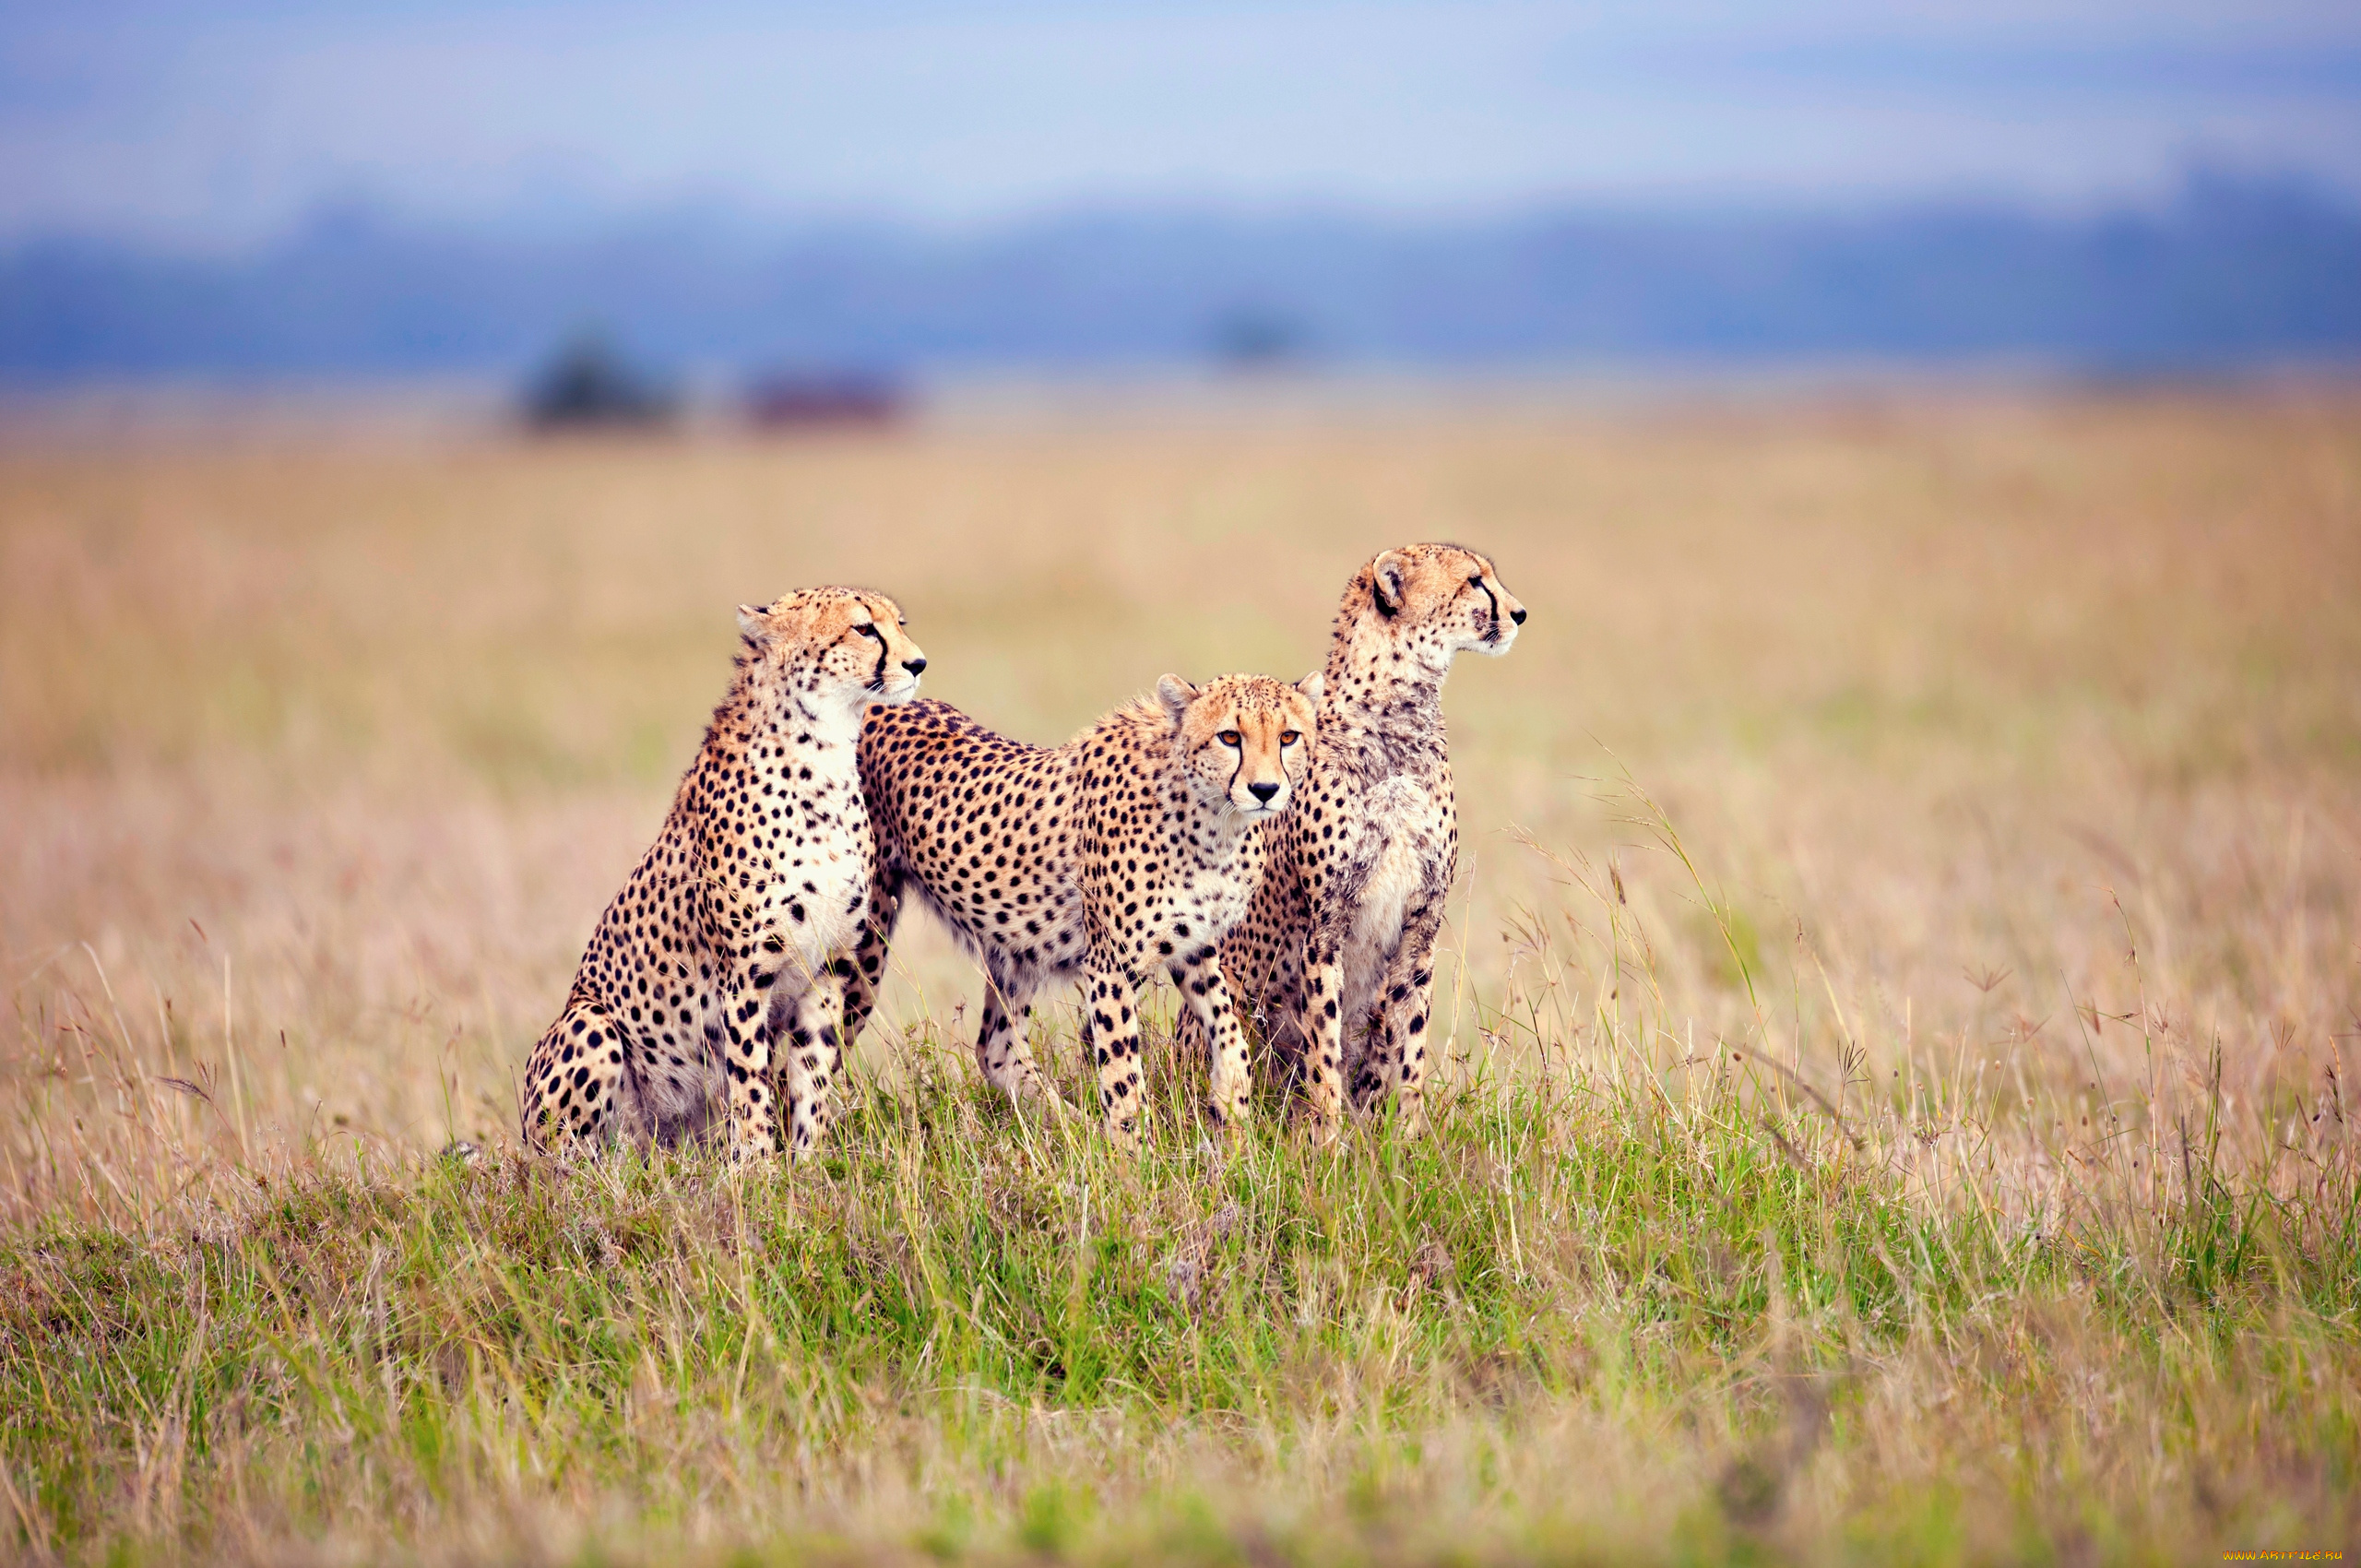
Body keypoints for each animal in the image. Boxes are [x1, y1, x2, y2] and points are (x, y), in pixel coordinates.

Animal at [521, 588, 925, 1161]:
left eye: (899, 623)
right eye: (864, 628)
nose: (917, 663)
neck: (823, 760)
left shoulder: (827, 971)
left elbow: (811, 1076)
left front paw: (809, 1164)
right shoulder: (745, 977)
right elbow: (751, 1081)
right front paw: (757, 1169)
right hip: (589, 1024)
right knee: (565, 1163)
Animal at [849, 665, 1331, 1147]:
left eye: (1288, 736)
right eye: (1230, 737)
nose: (1265, 789)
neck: (1212, 820)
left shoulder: (1192, 944)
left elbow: (1230, 1030)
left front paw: (1232, 1107)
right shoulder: (1110, 964)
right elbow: (1123, 1073)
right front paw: (1132, 1157)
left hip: (1015, 950)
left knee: (996, 1050)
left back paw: (1074, 1130)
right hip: (865, 937)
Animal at [1190, 547, 1520, 1138]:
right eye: (1474, 582)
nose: (1521, 613)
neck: (1399, 719)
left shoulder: (1422, 922)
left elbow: (1408, 1036)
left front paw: (1406, 1137)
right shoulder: (1325, 924)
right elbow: (1325, 1040)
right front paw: (1328, 1137)